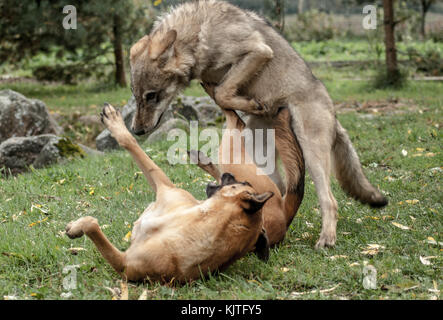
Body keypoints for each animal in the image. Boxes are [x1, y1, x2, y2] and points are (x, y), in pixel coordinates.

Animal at [65, 104, 274, 282]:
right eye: (245, 182)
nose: (231, 175)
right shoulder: (168, 189)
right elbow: (136, 148)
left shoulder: (124, 264)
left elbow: (92, 224)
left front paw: (75, 227)